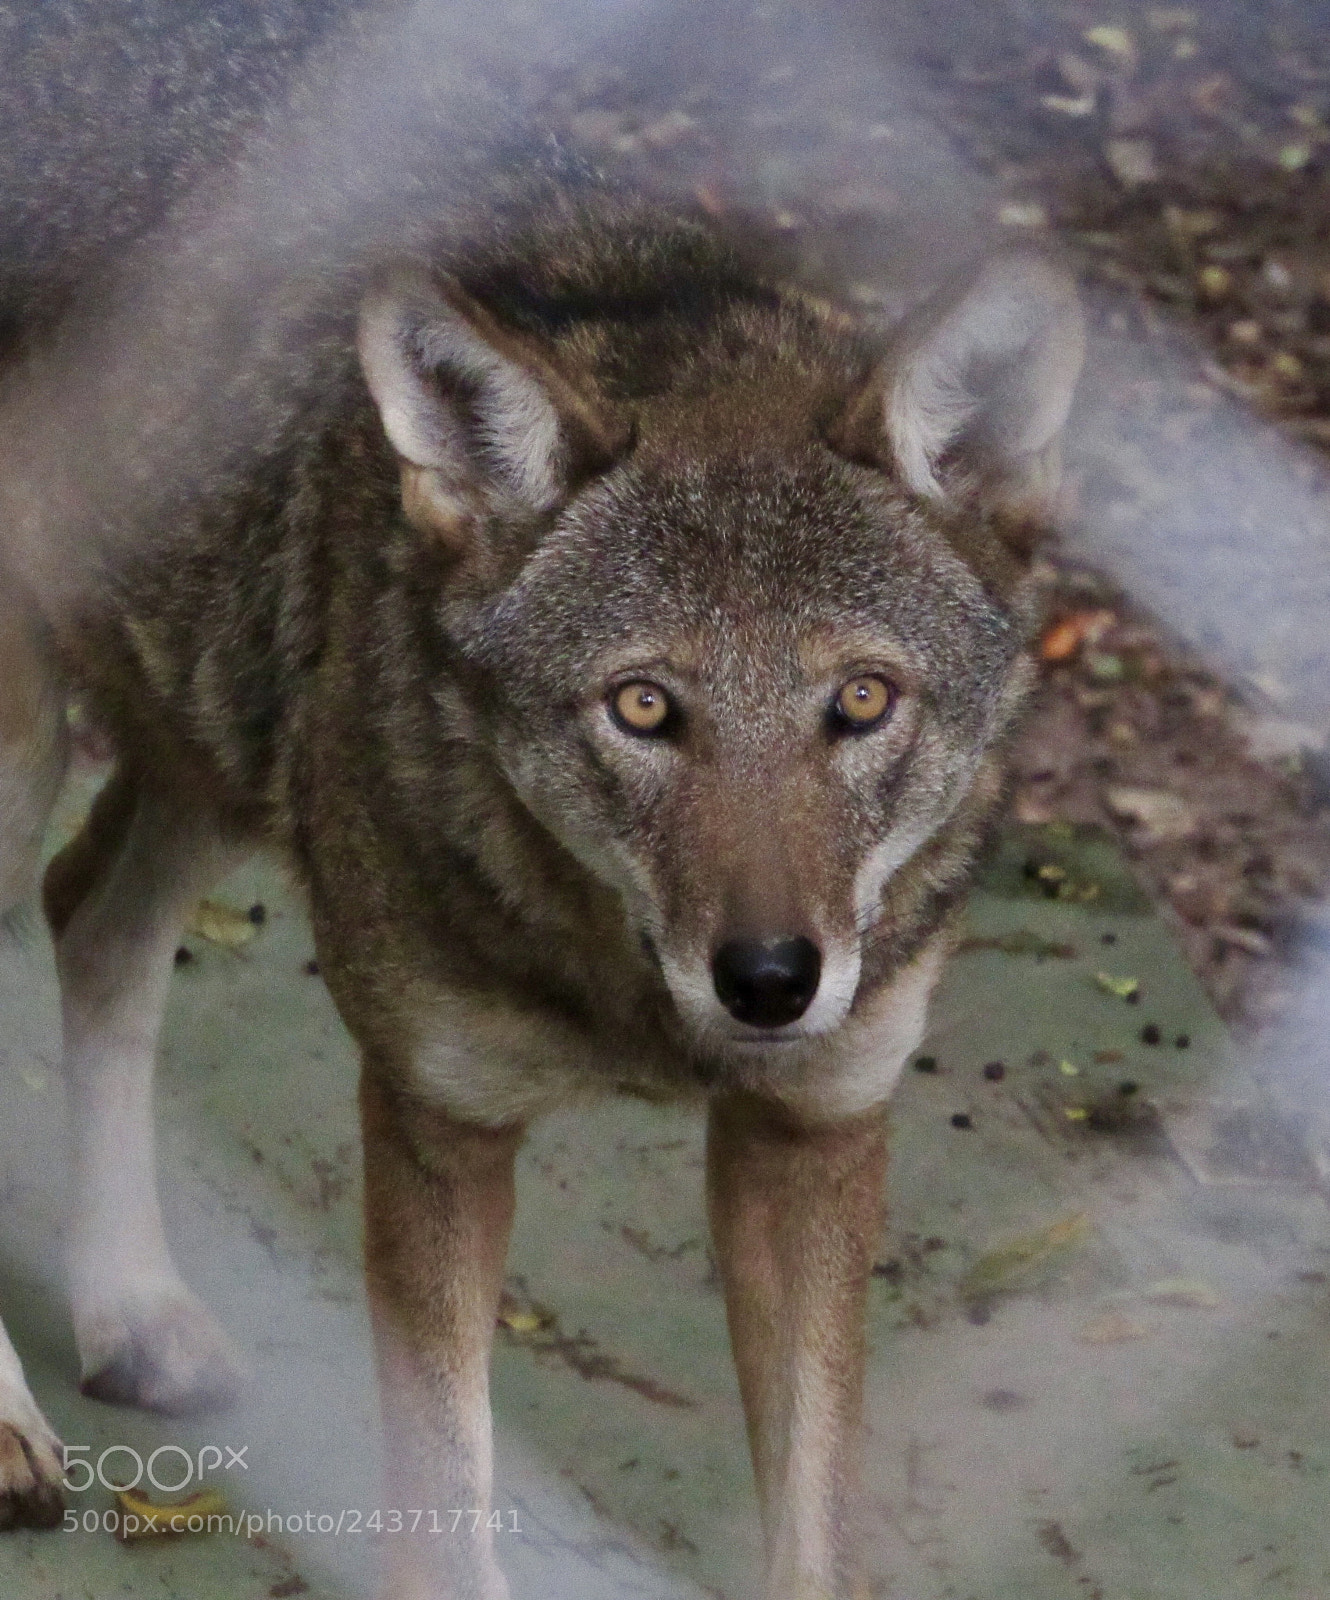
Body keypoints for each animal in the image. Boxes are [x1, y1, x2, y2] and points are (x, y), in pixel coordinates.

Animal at [0, 33, 1083, 1598]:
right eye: (641, 708)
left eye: (862, 701)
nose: (770, 981)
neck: (626, 1000)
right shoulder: (437, 1124)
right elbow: (447, 1516)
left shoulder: (814, 1134)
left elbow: (816, 1534)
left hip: (220, 724)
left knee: (88, 916)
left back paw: (131, 1308)